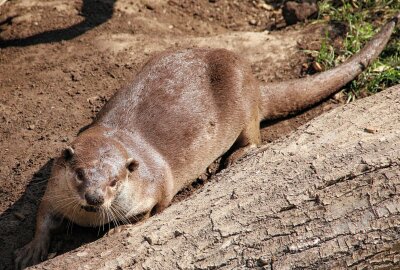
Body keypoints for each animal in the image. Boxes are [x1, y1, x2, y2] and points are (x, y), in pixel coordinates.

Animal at [14, 14, 398, 268]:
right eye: (80, 174)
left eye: (114, 181)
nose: (94, 197)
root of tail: (255, 82)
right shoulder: (54, 190)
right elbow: (42, 214)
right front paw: (31, 249)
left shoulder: (157, 187)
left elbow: (154, 210)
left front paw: (115, 232)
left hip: (243, 107)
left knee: (254, 135)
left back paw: (234, 158)